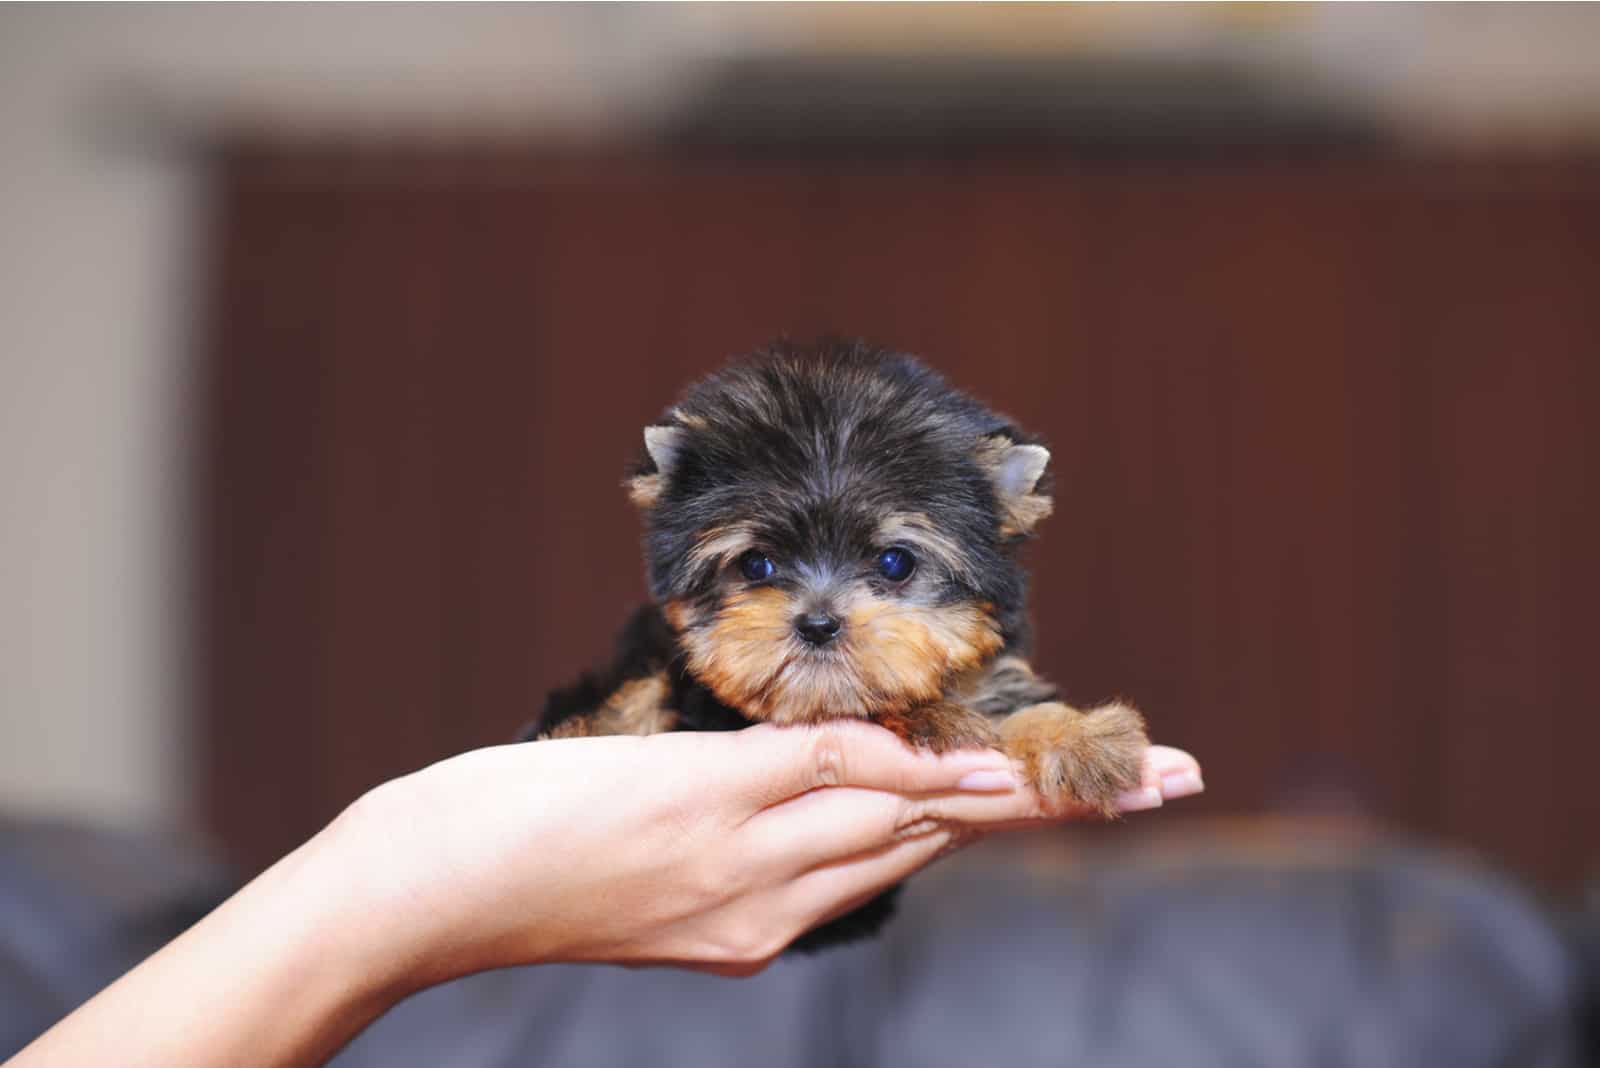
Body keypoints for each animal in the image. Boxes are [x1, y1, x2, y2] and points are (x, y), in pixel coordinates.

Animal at [524, 337, 1152, 946]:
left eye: (895, 562)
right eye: (756, 564)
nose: (818, 623)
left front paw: (1080, 737)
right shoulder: (707, 705)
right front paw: (933, 716)